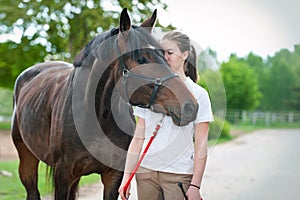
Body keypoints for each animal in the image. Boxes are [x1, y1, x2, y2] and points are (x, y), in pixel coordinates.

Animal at [11, 8, 198, 200]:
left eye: (165, 55)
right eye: (141, 59)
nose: (190, 106)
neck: (96, 115)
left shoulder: (113, 176)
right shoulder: (62, 174)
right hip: (27, 159)